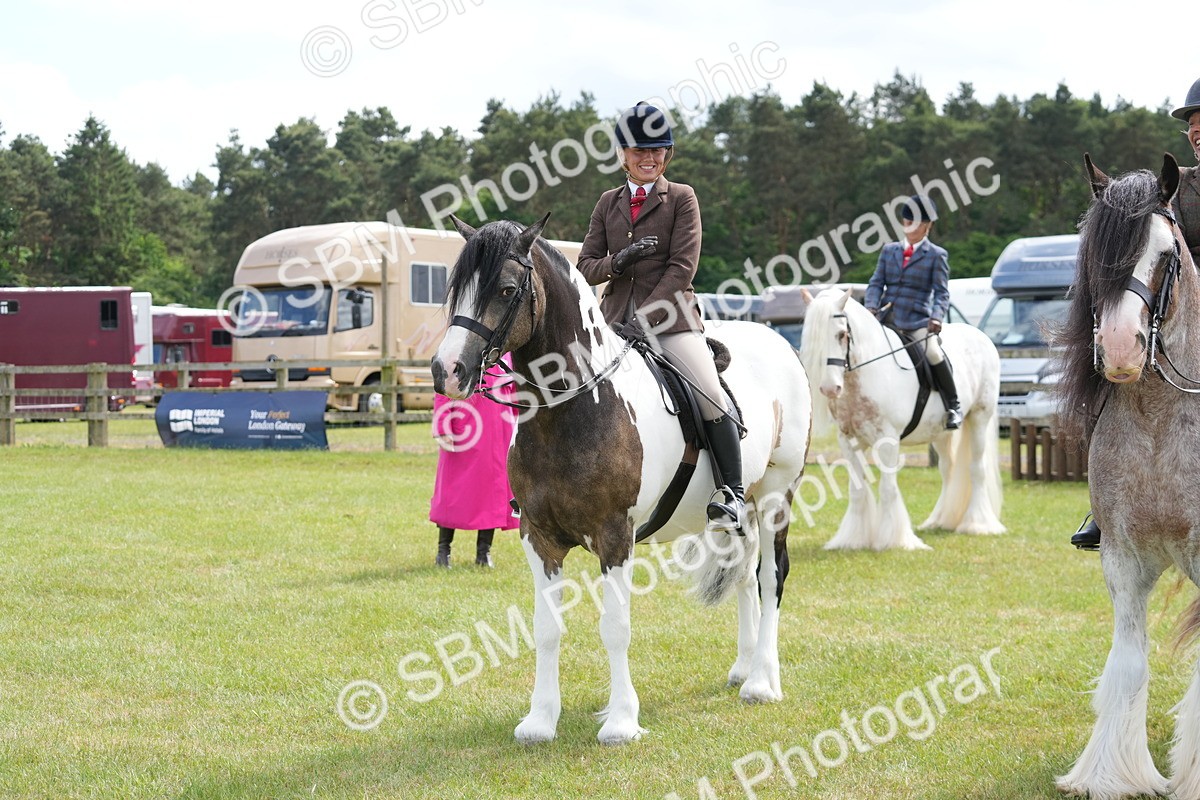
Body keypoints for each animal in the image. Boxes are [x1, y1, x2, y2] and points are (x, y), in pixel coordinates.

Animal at [430, 214, 812, 744]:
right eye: (456, 289)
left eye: (506, 290)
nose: (447, 370)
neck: (573, 407)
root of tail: (780, 344)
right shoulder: (538, 536)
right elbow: (545, 628)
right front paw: (540, 720)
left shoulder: (615, 536)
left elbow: (615, 627)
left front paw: (621, 722)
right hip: (744, 510)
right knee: (742, 575)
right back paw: (744, 667)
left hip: (776, 496)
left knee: (771, 576)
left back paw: (761, 682)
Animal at [797, 287, 1005, 550]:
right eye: (810, 336)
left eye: (841, 334)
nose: (829, 388)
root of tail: (981, 335)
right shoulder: (849, 441)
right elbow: (857, 490)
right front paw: (853, 539)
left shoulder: (888, 439)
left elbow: (888, 488)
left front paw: (893, 541)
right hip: (940, 433)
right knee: (948, 469)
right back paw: (941, 520)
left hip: (979, 418)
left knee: (976, 469)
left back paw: (978, 525)